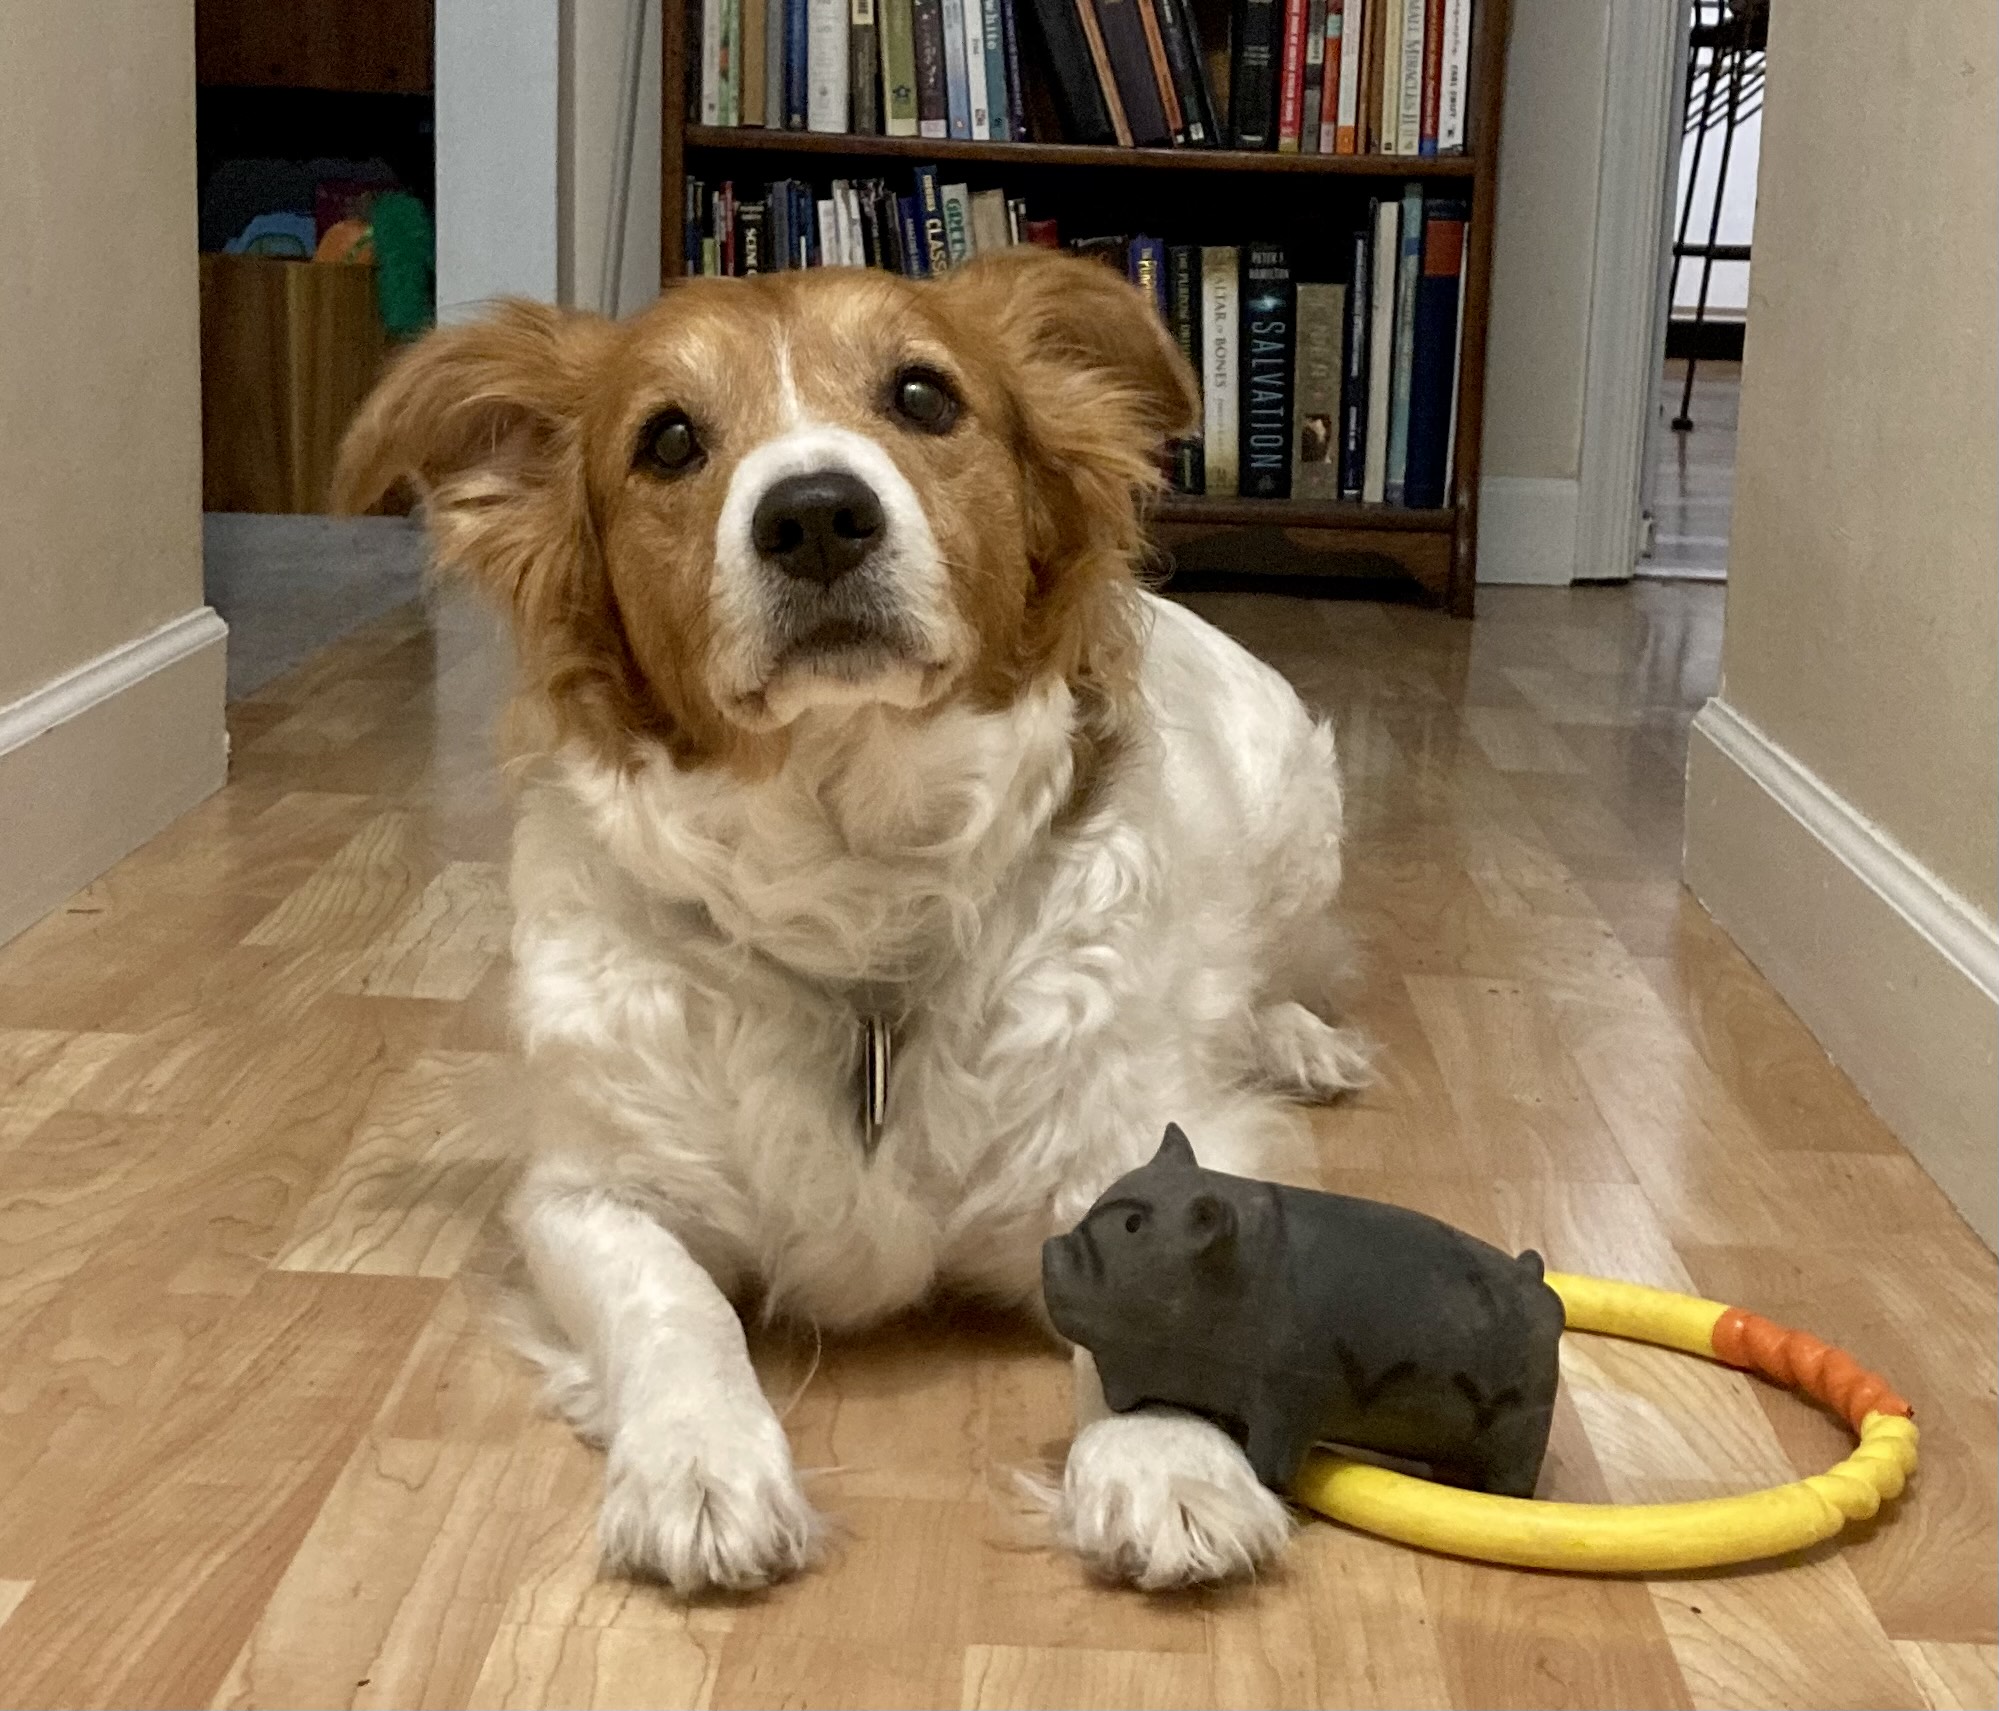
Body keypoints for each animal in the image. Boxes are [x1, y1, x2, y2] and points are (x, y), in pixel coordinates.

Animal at [335, 246, 1367, 1599]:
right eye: (669, 439)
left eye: (923, 396)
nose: (816, 514)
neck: (856, 888)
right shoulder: (585, 1193)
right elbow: (676, 1306)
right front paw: (699, 1462)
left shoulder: (1152, 1143)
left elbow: (1172, 1287)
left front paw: (1167, 1466)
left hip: (1303, 807)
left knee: (1284, 967)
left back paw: (1298, 1036)